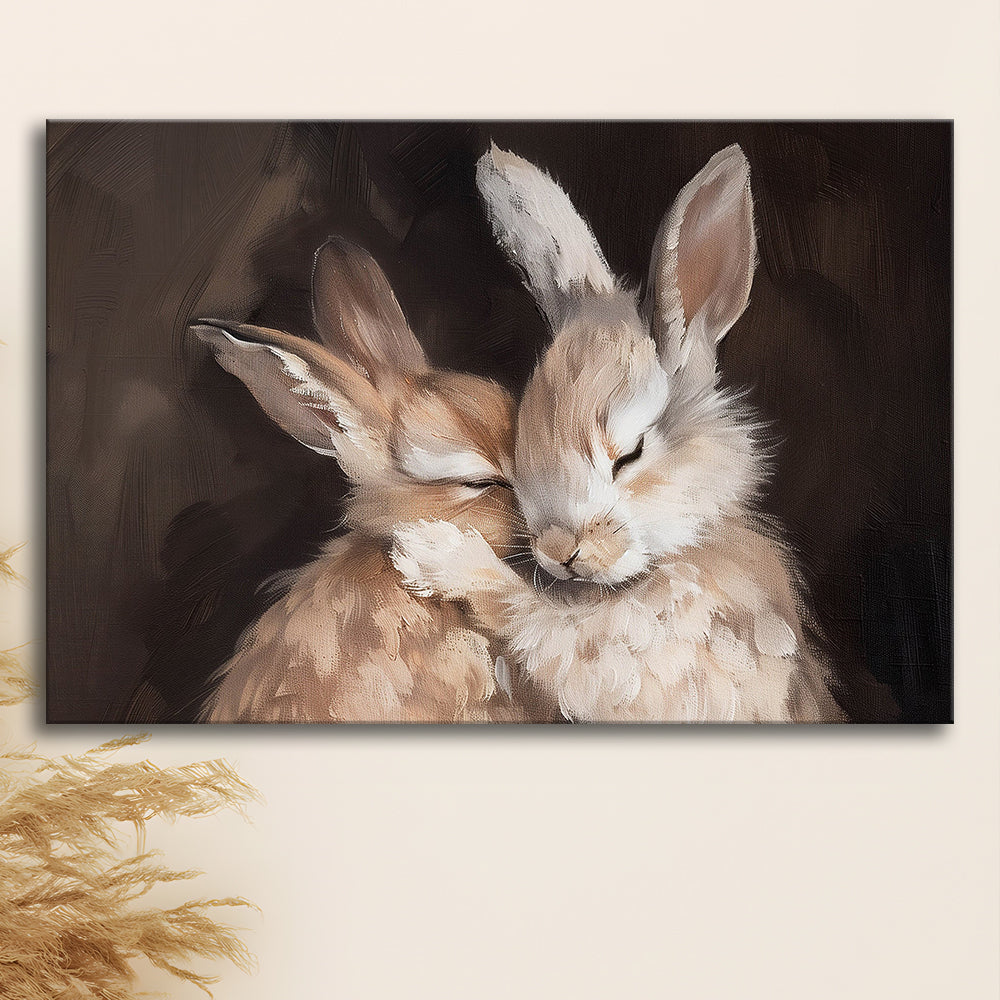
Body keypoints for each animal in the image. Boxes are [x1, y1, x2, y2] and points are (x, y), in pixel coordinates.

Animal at [390, 144, 846, 723]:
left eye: (629, 454)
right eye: (523, 443)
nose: (559, 552)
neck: (678, 551)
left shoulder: (631, 659)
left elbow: (531, 616)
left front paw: (434, 553)